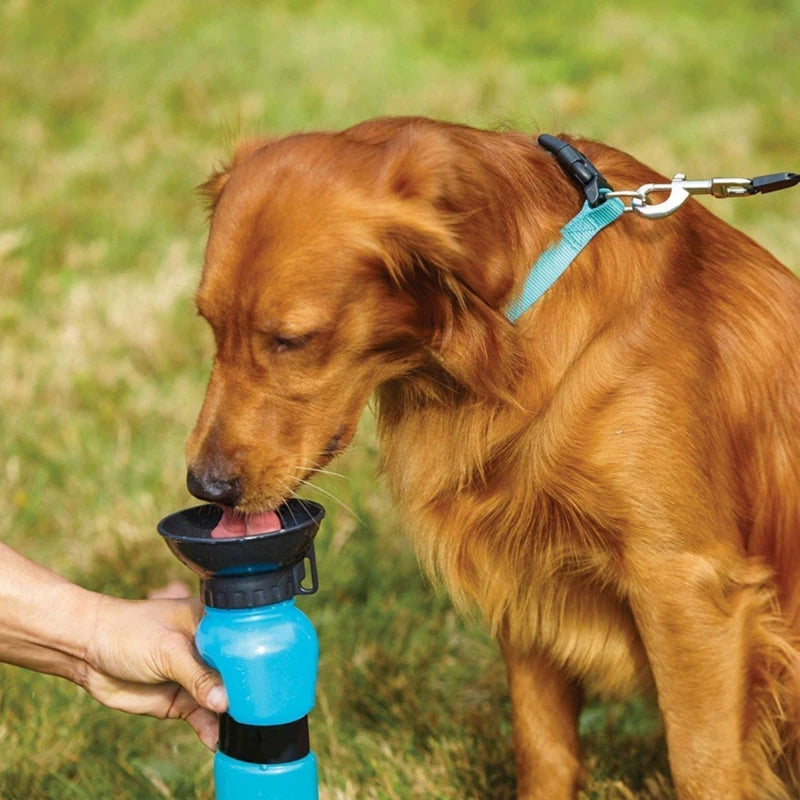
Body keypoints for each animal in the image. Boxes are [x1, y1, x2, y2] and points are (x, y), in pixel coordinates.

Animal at [183, 117, 800, 800]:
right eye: (209, 324)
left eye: (292, 340)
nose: (205, 487)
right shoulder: (526, 570)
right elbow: (542, 748)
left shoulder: (689, 587)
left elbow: (702, 766)